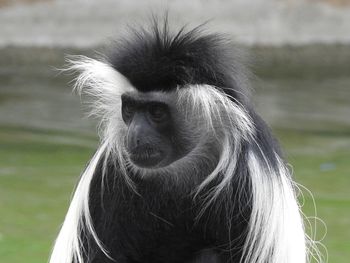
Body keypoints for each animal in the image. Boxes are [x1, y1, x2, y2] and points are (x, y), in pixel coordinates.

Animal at [49, 19, 320, 263]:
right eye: (130, 109)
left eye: (157, 112)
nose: (134, 135)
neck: (182, 167)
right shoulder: (107, 174)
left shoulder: (249, 179)